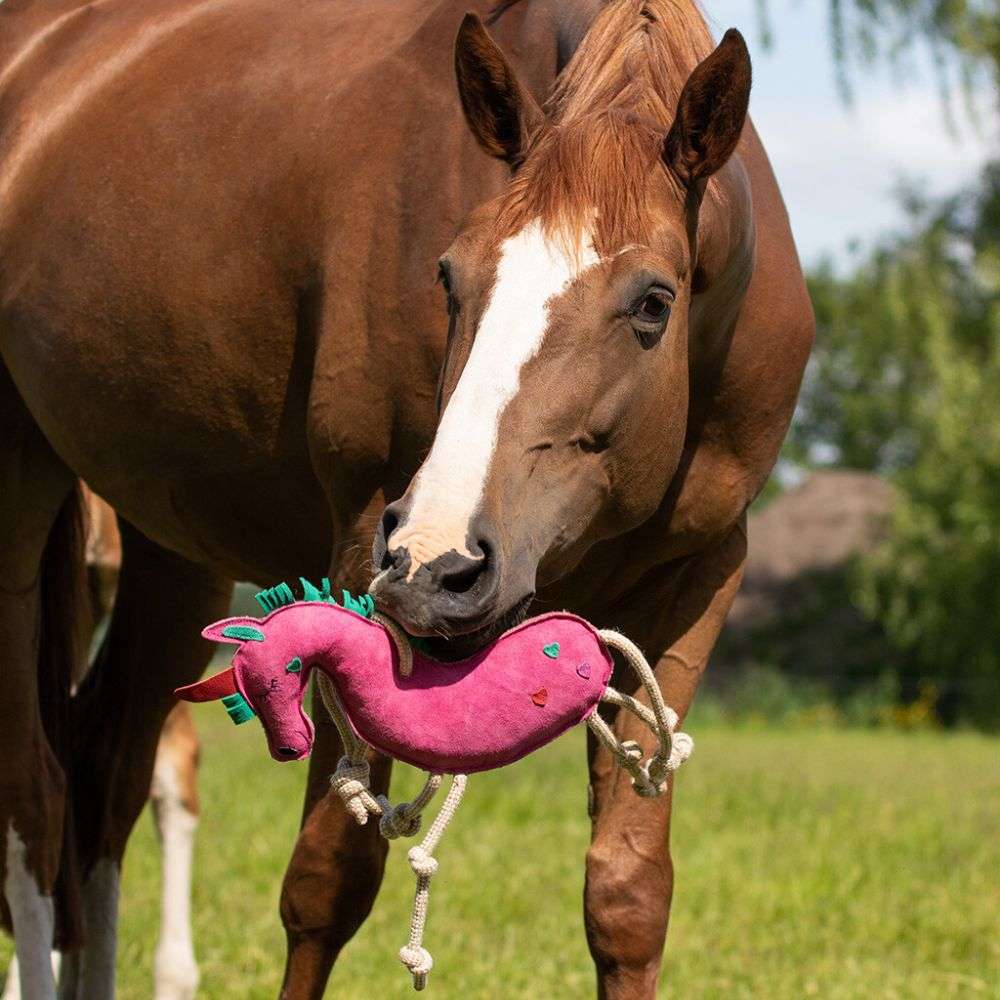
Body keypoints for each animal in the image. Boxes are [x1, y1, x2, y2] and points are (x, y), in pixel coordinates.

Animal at [0, 1, 812, 997]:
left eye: (654, 302)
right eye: (449, 277)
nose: (437, 564)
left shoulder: (695, 580)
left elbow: (627, 896)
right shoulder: (360, 547)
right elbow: (327, 881)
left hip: (170, 553)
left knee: (102, 780)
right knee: (34, 798)